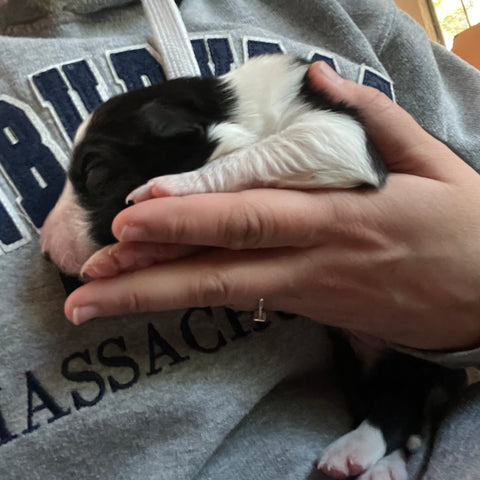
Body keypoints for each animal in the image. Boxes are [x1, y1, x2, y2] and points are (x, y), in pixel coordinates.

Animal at [40, 54, 464, 478]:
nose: (44, 248)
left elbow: (258, 152)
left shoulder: (342, 136)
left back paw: (356, 452)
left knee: (401, 398)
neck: (233, 104)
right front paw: (120, 256)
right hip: (353, 354)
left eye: (95, 173)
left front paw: (170, 186)